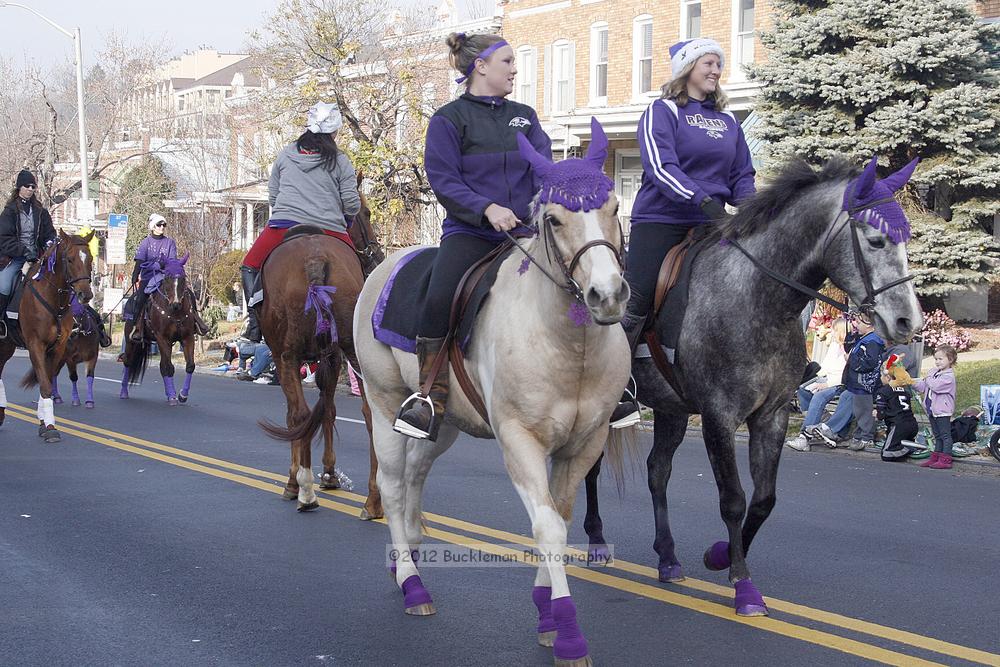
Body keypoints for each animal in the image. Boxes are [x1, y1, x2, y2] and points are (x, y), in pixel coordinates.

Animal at [0, 230, 95, 444]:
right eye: (70, 259)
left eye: (91, 259)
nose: (85, 295)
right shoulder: (35, 345)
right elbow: (44, 385)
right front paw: (50, 427)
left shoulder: (57, 348)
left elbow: (48, 384)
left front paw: (44, 423)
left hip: (7, 346)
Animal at [119, 254, 199, 404]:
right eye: (167, 278)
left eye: (183, 278)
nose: (176, 304)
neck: (175, 312)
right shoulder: (163, 338)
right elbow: (169, 368)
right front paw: (173, 396)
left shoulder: (188, 337)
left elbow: (190, 365)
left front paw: (182, 395)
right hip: (130, 339)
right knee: (127, 360)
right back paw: (124, 392)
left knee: (161, 366)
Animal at [256, 196, 384, 524]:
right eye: (366, 213)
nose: (376, 256)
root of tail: (315, 258)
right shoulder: (333, 357)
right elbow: (328, 410)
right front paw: (329, 473)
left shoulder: (285, 358)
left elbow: (295, 417)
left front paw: (297, 480)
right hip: (353, 352)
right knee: (369, 415)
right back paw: (373, 501)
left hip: (288, 357)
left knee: (300, 415)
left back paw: (304, 492)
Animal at [356, 121, 628, 667]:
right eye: (554, 219)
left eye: (612, 208)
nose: (607, 296)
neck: (570, 348)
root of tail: (384, 264)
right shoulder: (520, 442)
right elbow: (548, 528)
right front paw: (568, 635)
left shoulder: (583, 446)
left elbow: (560, 520)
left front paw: (546, 615)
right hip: (381, 402)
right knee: (393, 487)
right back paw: (412, 584)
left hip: (440, 424)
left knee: (416, 475)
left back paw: (408, 551)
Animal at [584, 154, 920, 620]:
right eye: (875, 241)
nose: (908, 322)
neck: (756, 298)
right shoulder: (719, 418)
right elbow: (733, 498)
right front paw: (743, 585)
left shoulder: (771, 416)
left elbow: (763, 500)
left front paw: (721, 554)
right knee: (590, 466)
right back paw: (597, 543)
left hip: (671, 410)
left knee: (657, 471)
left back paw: (668, 557)